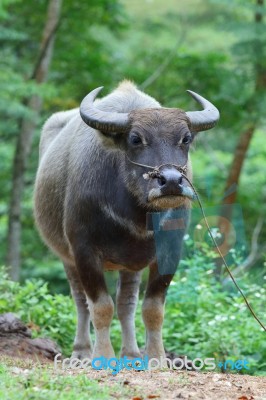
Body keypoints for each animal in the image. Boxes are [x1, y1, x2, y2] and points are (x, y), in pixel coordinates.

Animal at [34, 80, 219, 360]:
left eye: (185, 138)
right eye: (135, 139)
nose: (171, 181)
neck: (137, 217)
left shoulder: (170, 251)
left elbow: (153, 309)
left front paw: (156, 357)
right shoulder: (83, 251)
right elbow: (100, 307)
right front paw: (102, 357)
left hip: (130, 265)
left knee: (126, 304)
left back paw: (131, 353)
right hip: (66, 257)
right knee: (80, 301)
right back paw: (81, 351)